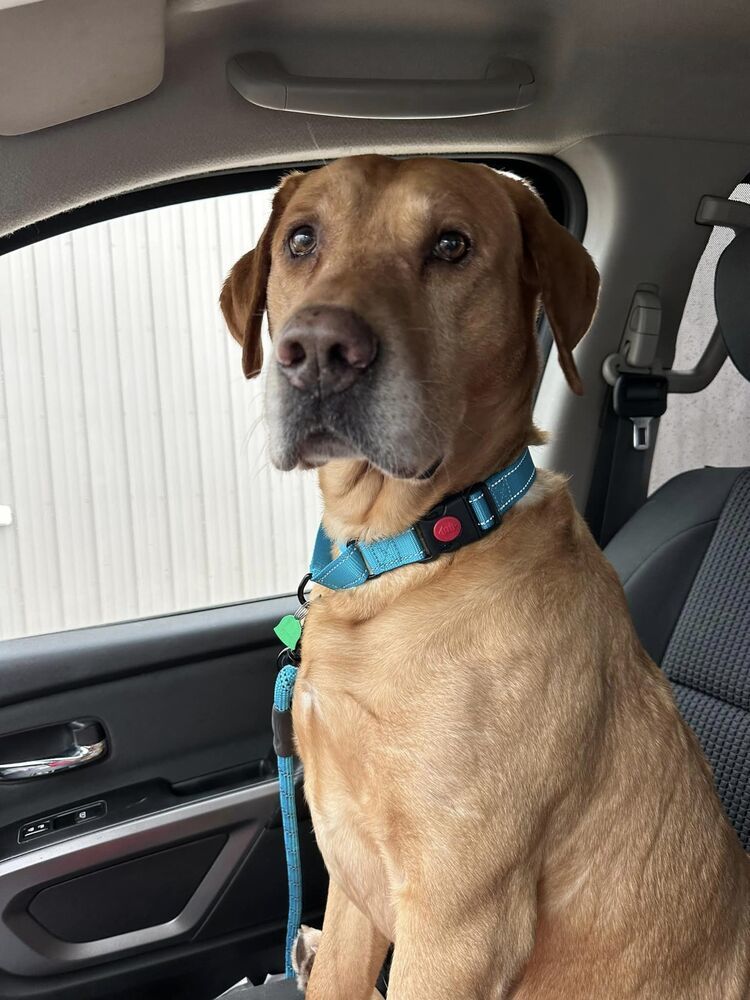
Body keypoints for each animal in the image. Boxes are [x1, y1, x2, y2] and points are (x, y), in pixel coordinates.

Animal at [223, 156, 750, 1000]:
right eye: (301, 239)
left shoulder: (458, 924)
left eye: (451, 245)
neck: (407, 555)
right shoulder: (350, 880)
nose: (319, 349)